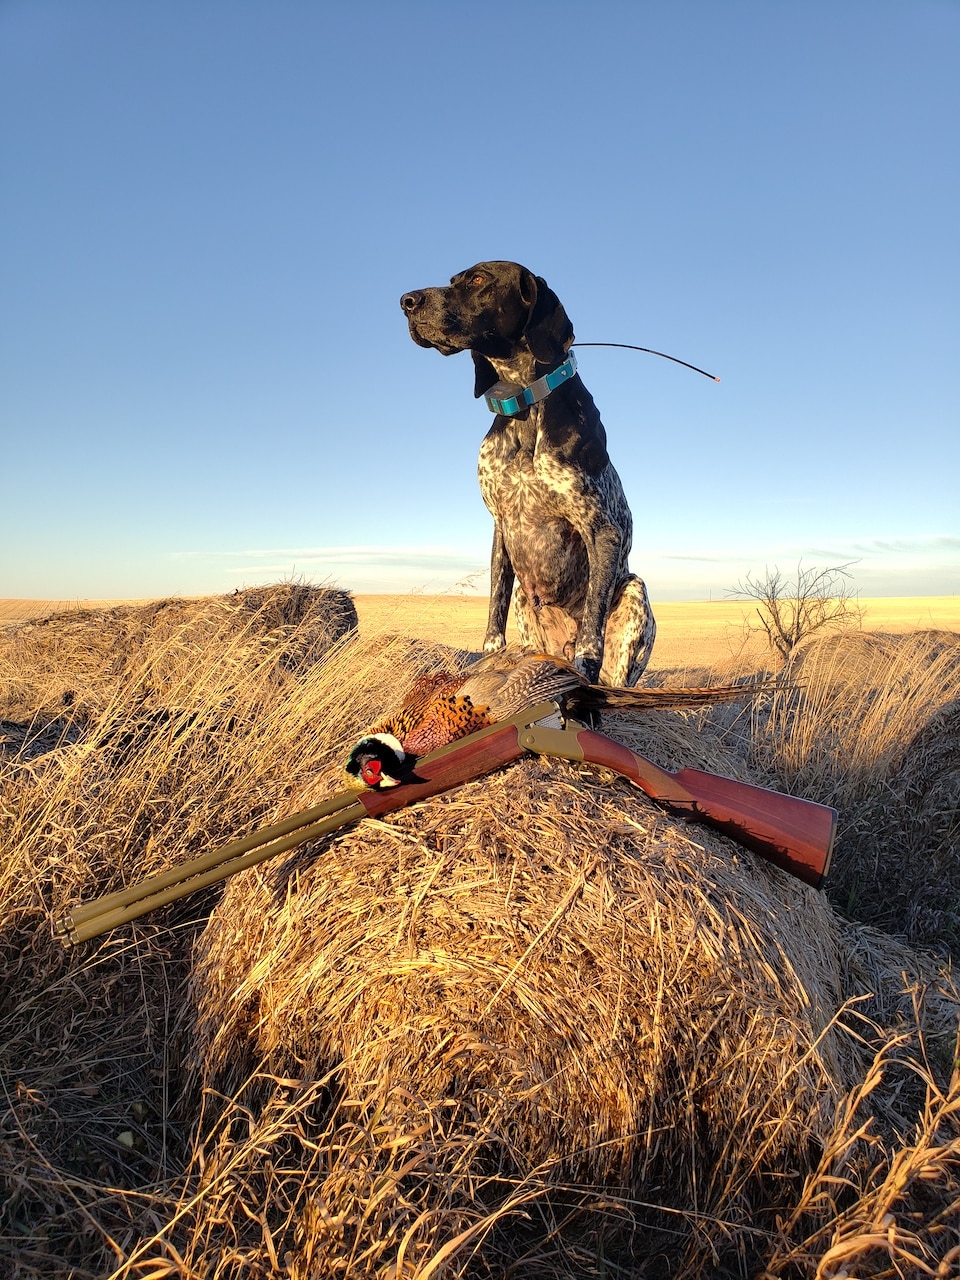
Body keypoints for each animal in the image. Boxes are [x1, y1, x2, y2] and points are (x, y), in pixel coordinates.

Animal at [401, 258, 660, 691]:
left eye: (478, 279)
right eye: (453, 280)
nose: (406, 301)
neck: (523, 403)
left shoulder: (603, 530)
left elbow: (591, 632)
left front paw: (584, 668)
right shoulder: (501, 527)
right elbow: (494, 609)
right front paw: (489, 660)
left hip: (633, 594)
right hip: (527, 599)